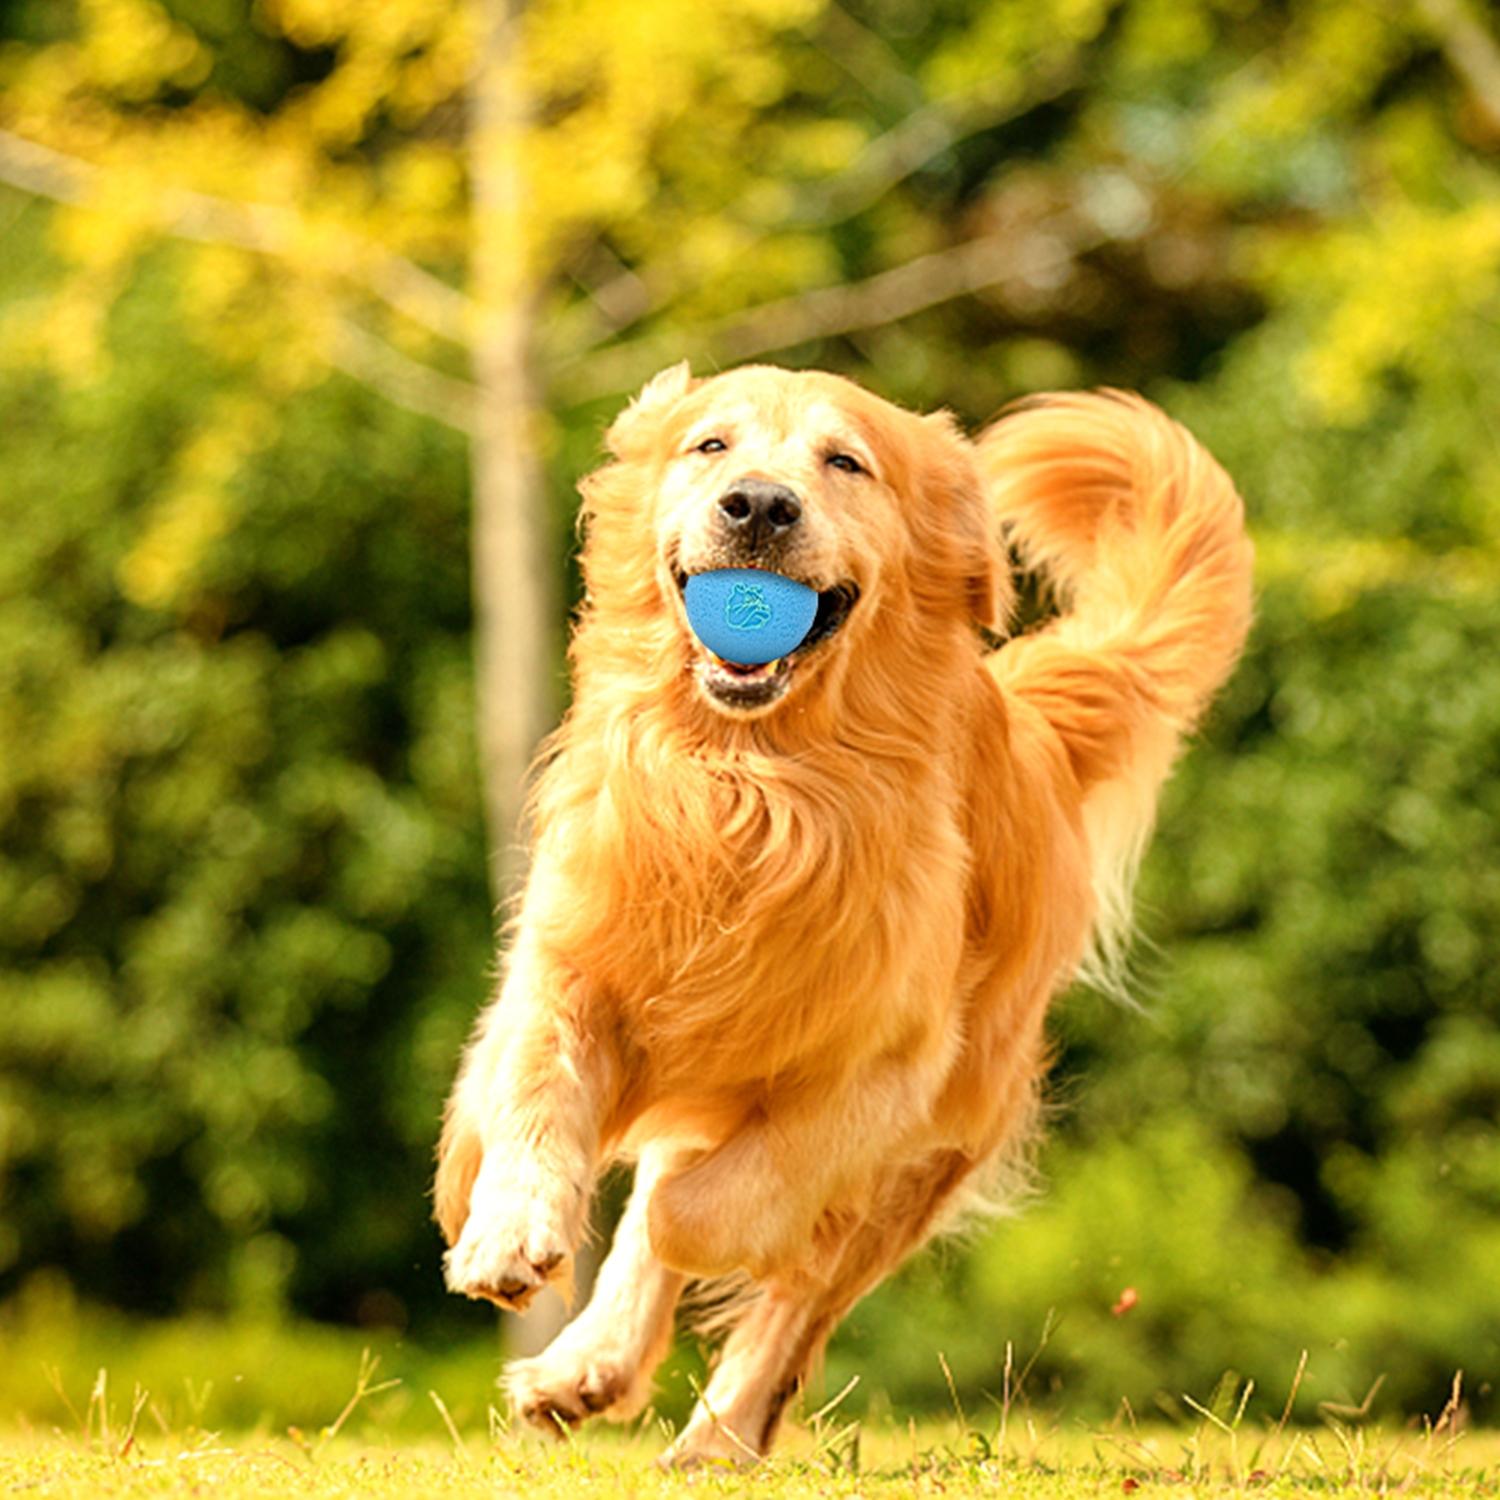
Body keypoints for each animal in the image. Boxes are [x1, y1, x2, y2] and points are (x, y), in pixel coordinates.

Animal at [435, 363, 1254, 1464]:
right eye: (711, 445)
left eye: (845, 462)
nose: (758, 506)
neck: (751, 785)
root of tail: (1027, 725)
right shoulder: (567, 963)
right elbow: (536, 1096)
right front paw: (506, 1234)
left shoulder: (887, 1075)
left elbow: (708, 1209)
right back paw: (586, 1367)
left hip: (935, 1147)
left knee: (796, 1295)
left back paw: (714, 1439)